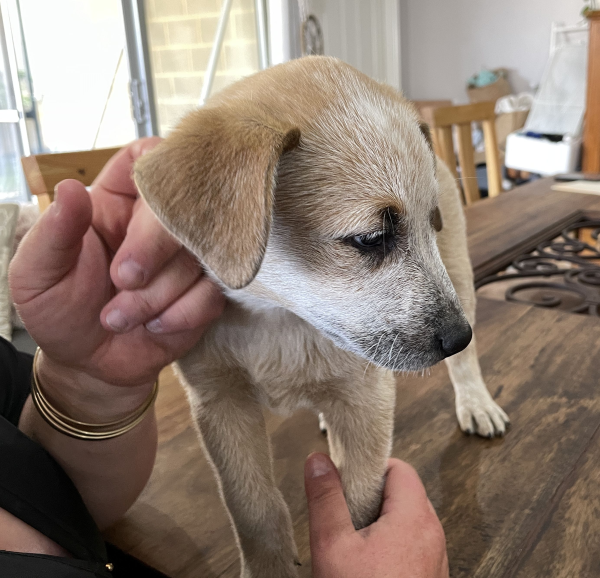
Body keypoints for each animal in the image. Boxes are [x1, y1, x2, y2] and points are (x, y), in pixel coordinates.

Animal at [134, 55, 508, 576]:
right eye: (370, 238)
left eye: (429, 223)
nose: (458, 336)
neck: (279, 318)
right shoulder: (220, 403)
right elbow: (253, 506)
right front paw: (268, 567)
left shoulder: (367, 398)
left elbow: (359, 508)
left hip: (458, 272)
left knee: (465, 367)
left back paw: (477, 402)